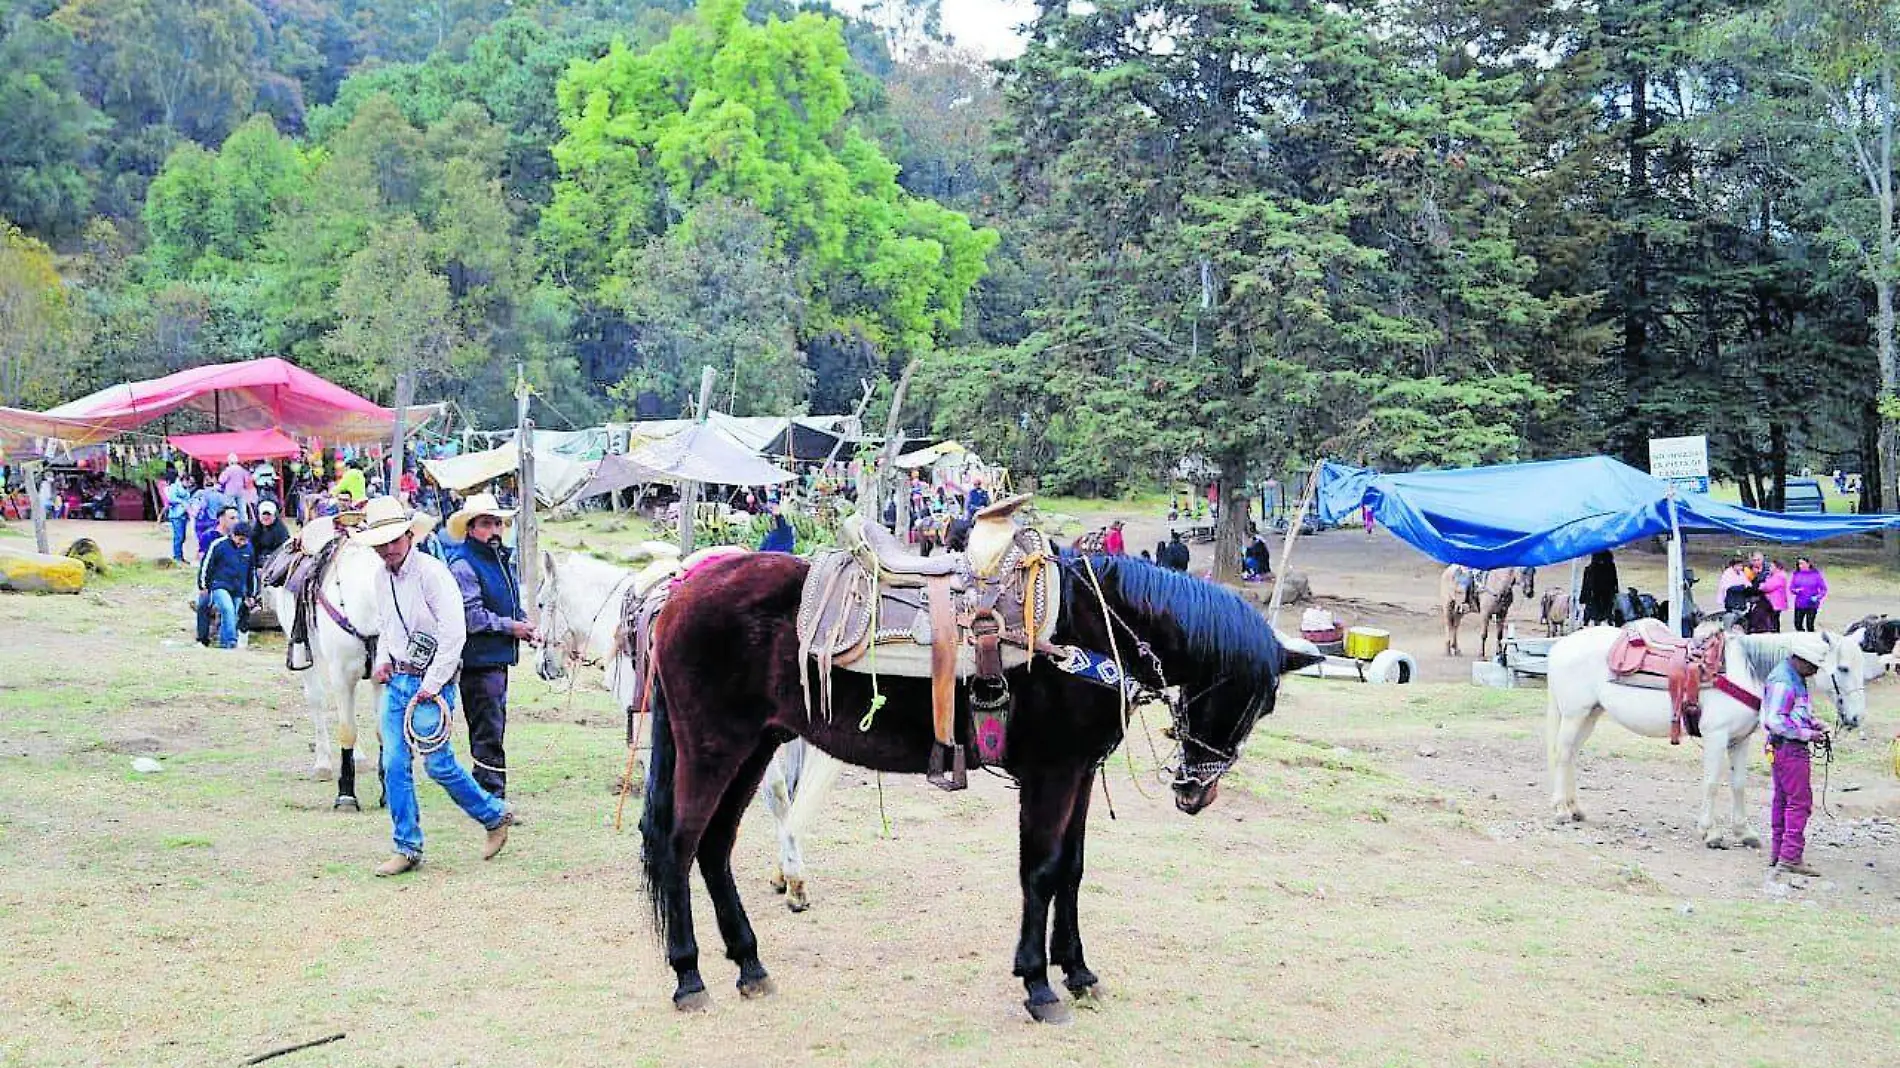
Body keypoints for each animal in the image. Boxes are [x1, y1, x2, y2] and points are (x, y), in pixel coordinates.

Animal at [532, 547, 836, 904]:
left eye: (540, 603)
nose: (542, 667)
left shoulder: (648, 729)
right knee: (791, 792)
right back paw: (784, 874)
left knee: (777, 792)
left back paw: (794, 880)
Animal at [630, 551, 1314, 1018]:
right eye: (1248, 699)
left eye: (1266, 707)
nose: (1197, 792)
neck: (1094, 632)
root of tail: (681, 592)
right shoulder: (1051, 775)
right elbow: (1040, 872)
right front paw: (1038, 983)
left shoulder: (1079, 775)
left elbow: (1072, 871)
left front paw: (1078, 971)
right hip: (715, 747)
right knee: (679, 845)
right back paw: (689, 975)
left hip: (755, 747)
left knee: (714, 847)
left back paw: (748, 963)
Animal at [1550, 627, 1862, 843]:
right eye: (1843, 668)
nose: (1856, 717)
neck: (1743, 673)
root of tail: (1560, 646)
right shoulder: (1716, 737)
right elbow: (1712, 783)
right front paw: (1710, 832)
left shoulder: (1740, 740)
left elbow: (1738, 784)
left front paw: (1744, 832)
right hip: (1575, 714)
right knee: (1563, 755)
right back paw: (1561, 810)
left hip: (1590, 715)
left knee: (1572, 755)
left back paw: (1575, 809)